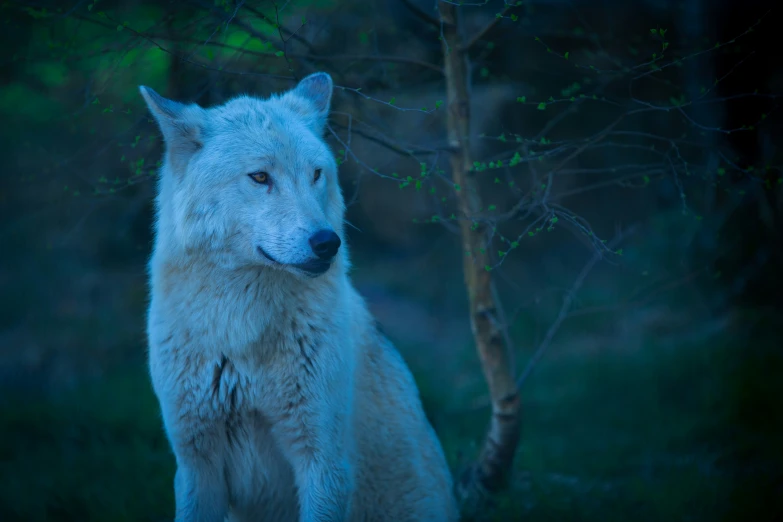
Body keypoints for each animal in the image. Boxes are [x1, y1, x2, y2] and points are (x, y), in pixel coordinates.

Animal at [141, 70, 460, 520]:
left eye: (316, 174)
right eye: (260, 177)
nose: (327, 242)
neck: (242, 335)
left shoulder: (324, 464)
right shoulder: (195, 466)